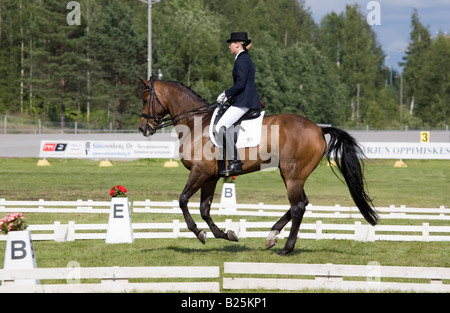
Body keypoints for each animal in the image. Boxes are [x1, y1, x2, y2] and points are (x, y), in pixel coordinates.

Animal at [137, 77, 376, 255]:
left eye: (145, 99)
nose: (142, 129)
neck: (196, 124)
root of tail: (318, 129)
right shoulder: (210, 176)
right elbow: (204, 209)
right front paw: (225, 234)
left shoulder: (200, 172)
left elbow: (183, 200)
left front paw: (200, 233)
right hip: (291, 174)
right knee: (302, 203)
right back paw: (272, 236)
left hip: (293, 174)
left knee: (298, 206)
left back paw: (286, 248)